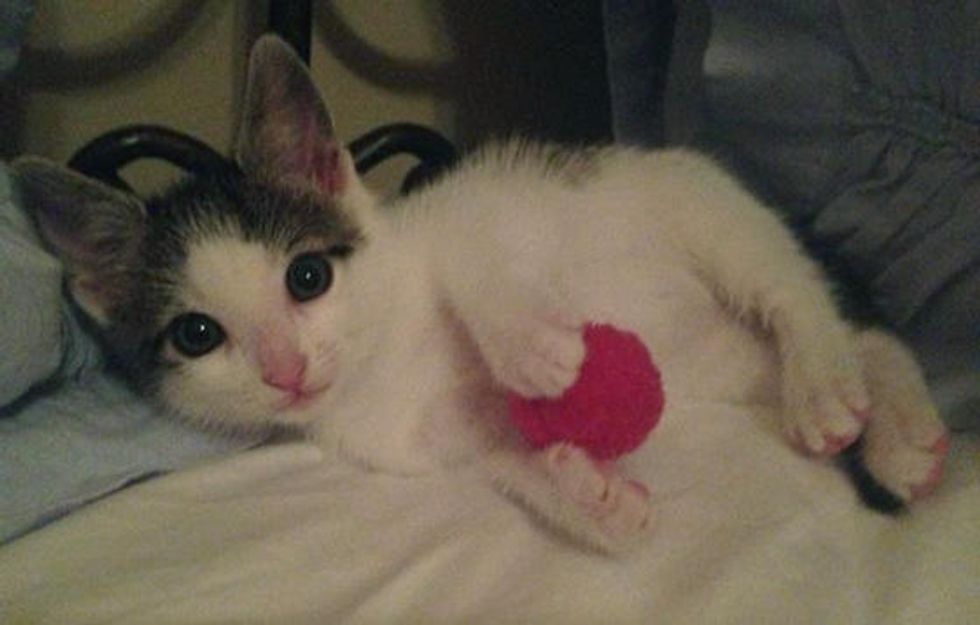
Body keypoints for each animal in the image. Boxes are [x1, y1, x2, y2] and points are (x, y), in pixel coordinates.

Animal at [11, 35, 949, 552]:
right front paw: (590, 497)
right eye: (198, 335)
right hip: (724, 367)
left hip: (703, 204)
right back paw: (902, 436)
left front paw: (537, 352)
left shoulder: (468, 215)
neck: (388, 361)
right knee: (869, 335)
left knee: (795, 290)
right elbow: (505, 455)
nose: (285, 368)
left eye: (307, 277)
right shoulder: (432, 440)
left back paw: (828, 388)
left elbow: (476, 266)